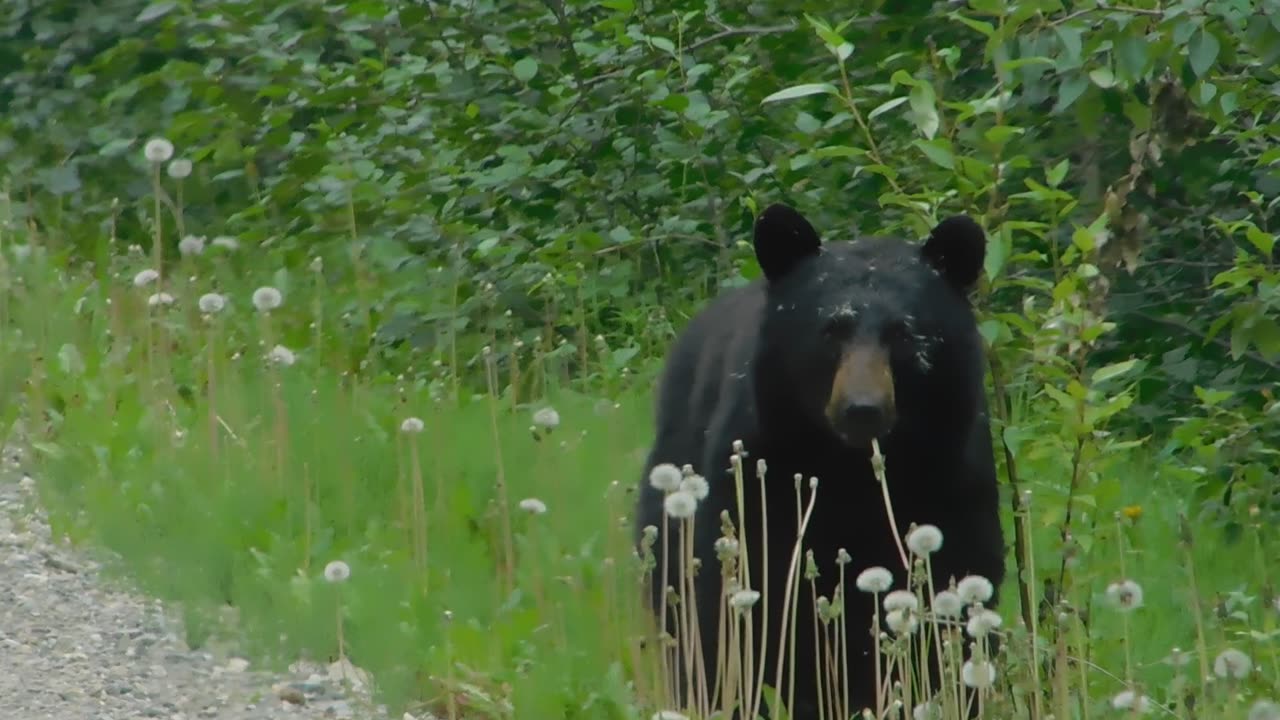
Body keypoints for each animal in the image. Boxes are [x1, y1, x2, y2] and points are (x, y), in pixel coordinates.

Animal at [634, 202, 1003, 717]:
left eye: (903, 332)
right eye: (831, 329)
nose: (862, 408)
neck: (849, 472)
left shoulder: (952, 485)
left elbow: (953, 598)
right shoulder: (759, 480)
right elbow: (741, 614)